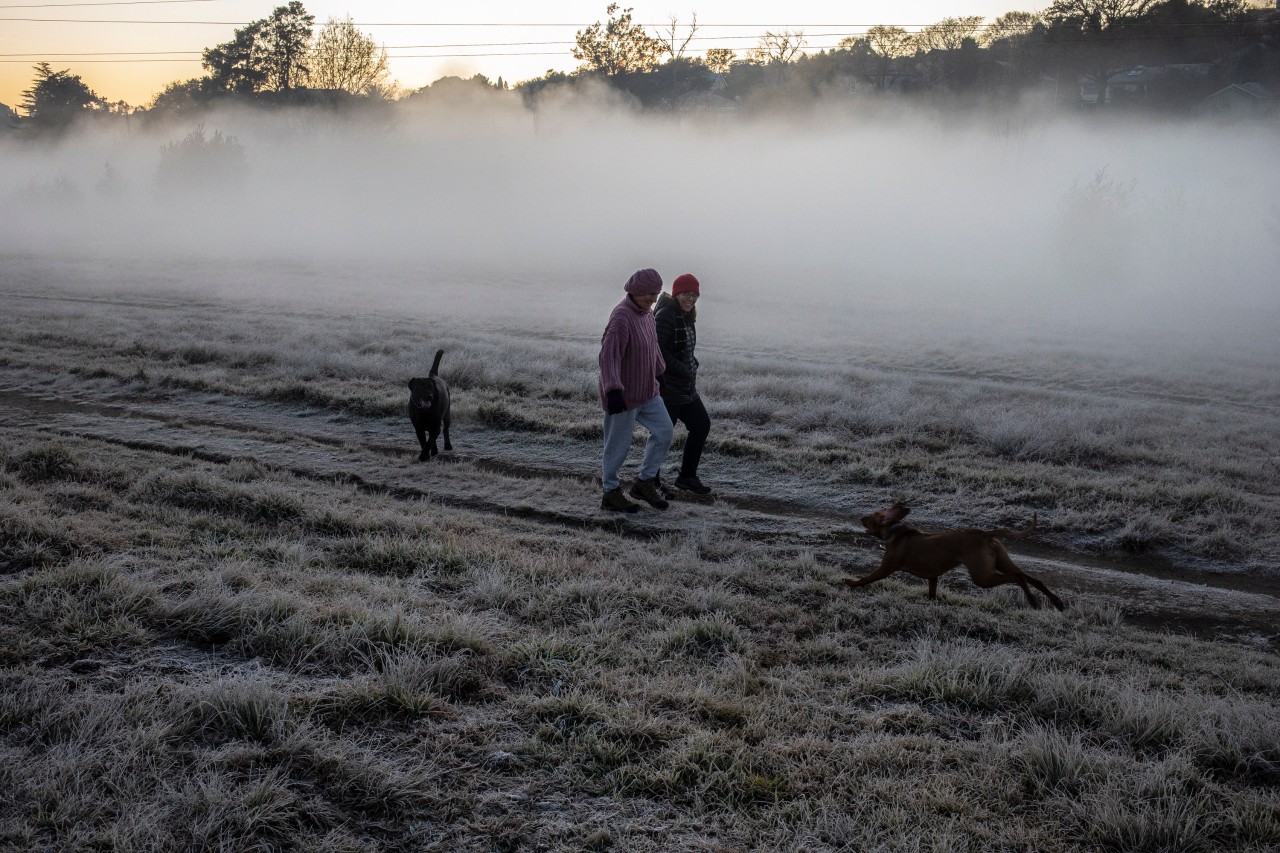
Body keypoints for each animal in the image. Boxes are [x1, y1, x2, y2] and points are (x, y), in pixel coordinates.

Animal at [844, 502, 1064, 607]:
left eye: (869, 517)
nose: (860, 518)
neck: (895, 530)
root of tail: (984, 534)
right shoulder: (933, 576)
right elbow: (932, 592)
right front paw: (931, 603)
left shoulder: (885, 568)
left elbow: (867, 577)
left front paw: (851, 583)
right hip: (1001, 562)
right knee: (1031, 578)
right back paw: (1056, 602)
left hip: (982, 576)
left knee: (1018, 577)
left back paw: (1034, 601)